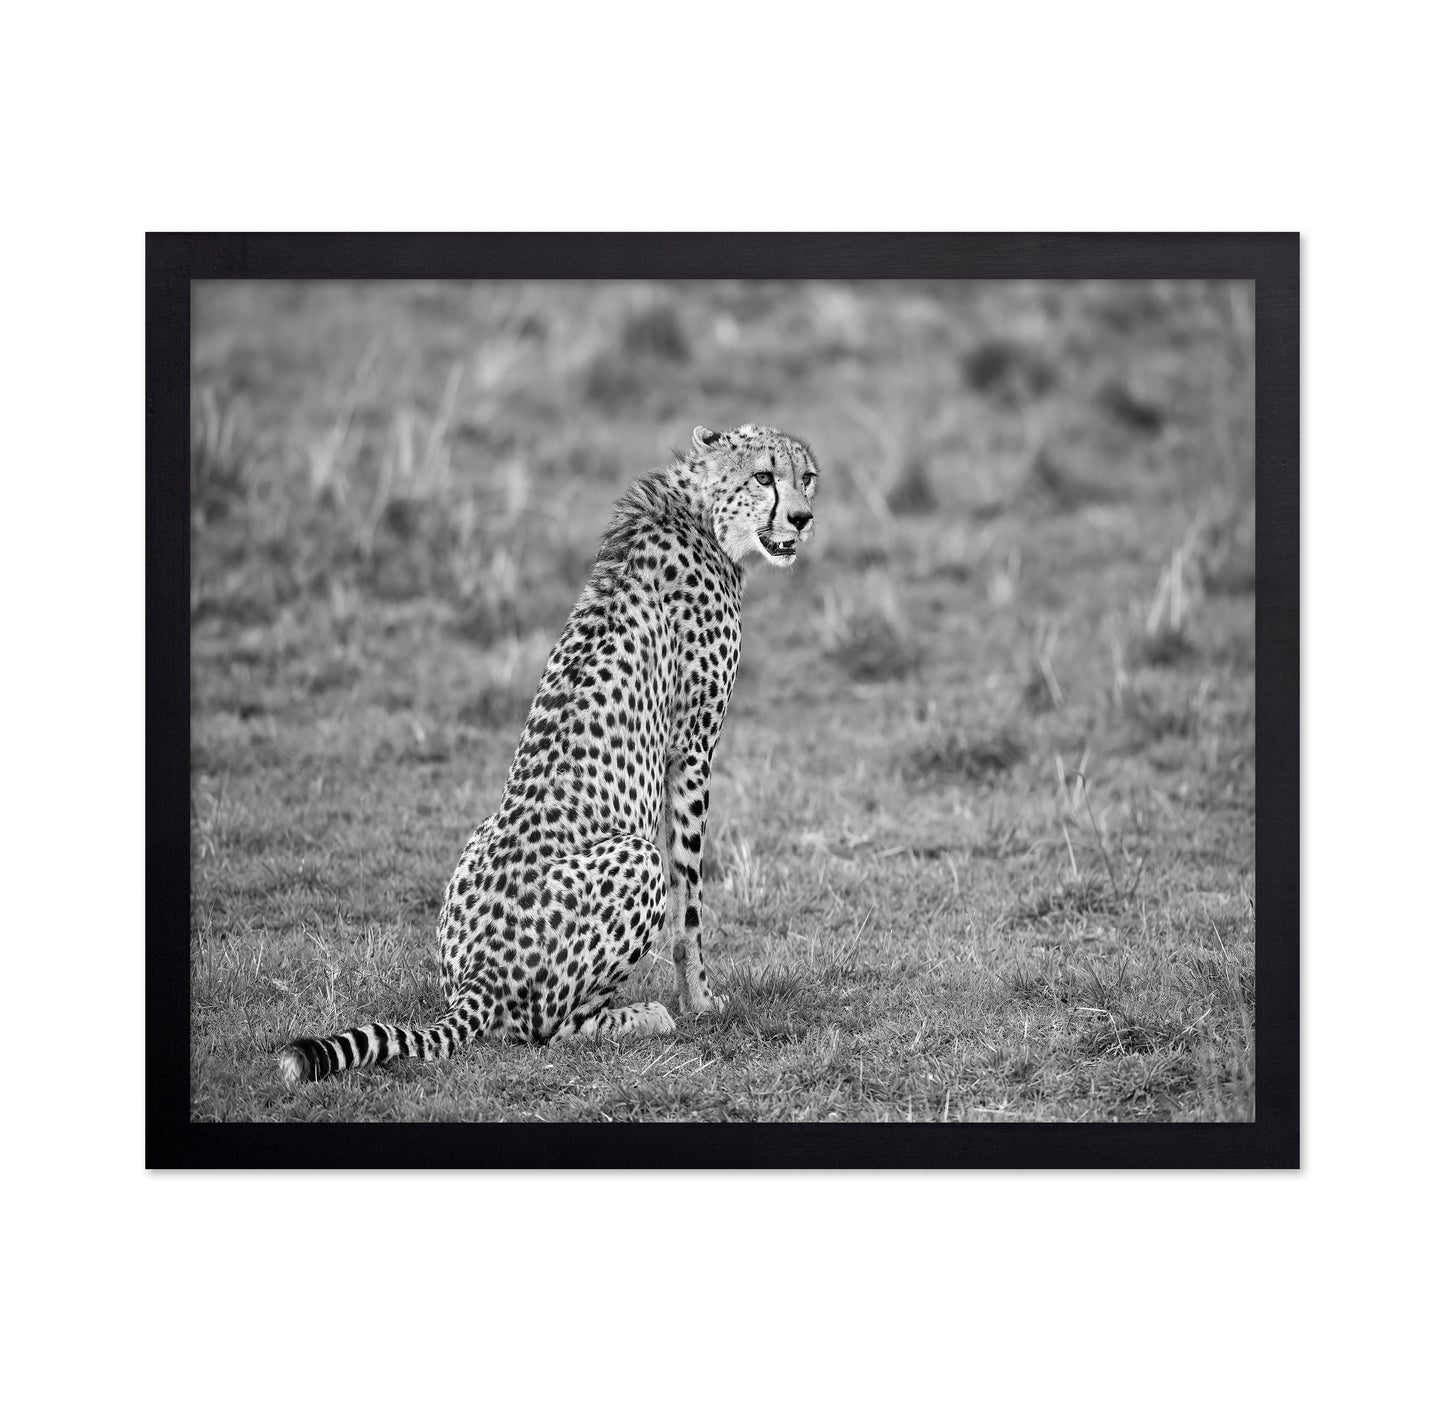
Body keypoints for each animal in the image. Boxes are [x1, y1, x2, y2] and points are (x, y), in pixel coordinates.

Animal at [278, 423, 819, 1084]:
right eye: (764, 476)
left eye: (806, 477)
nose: (802, 517)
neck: (699, 512)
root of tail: (479, 977)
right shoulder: (692, 750)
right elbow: (691, 901)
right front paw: (701, 1001)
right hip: (635, 859)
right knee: (550, 1028)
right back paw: (645, 1016)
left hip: (479, 841)